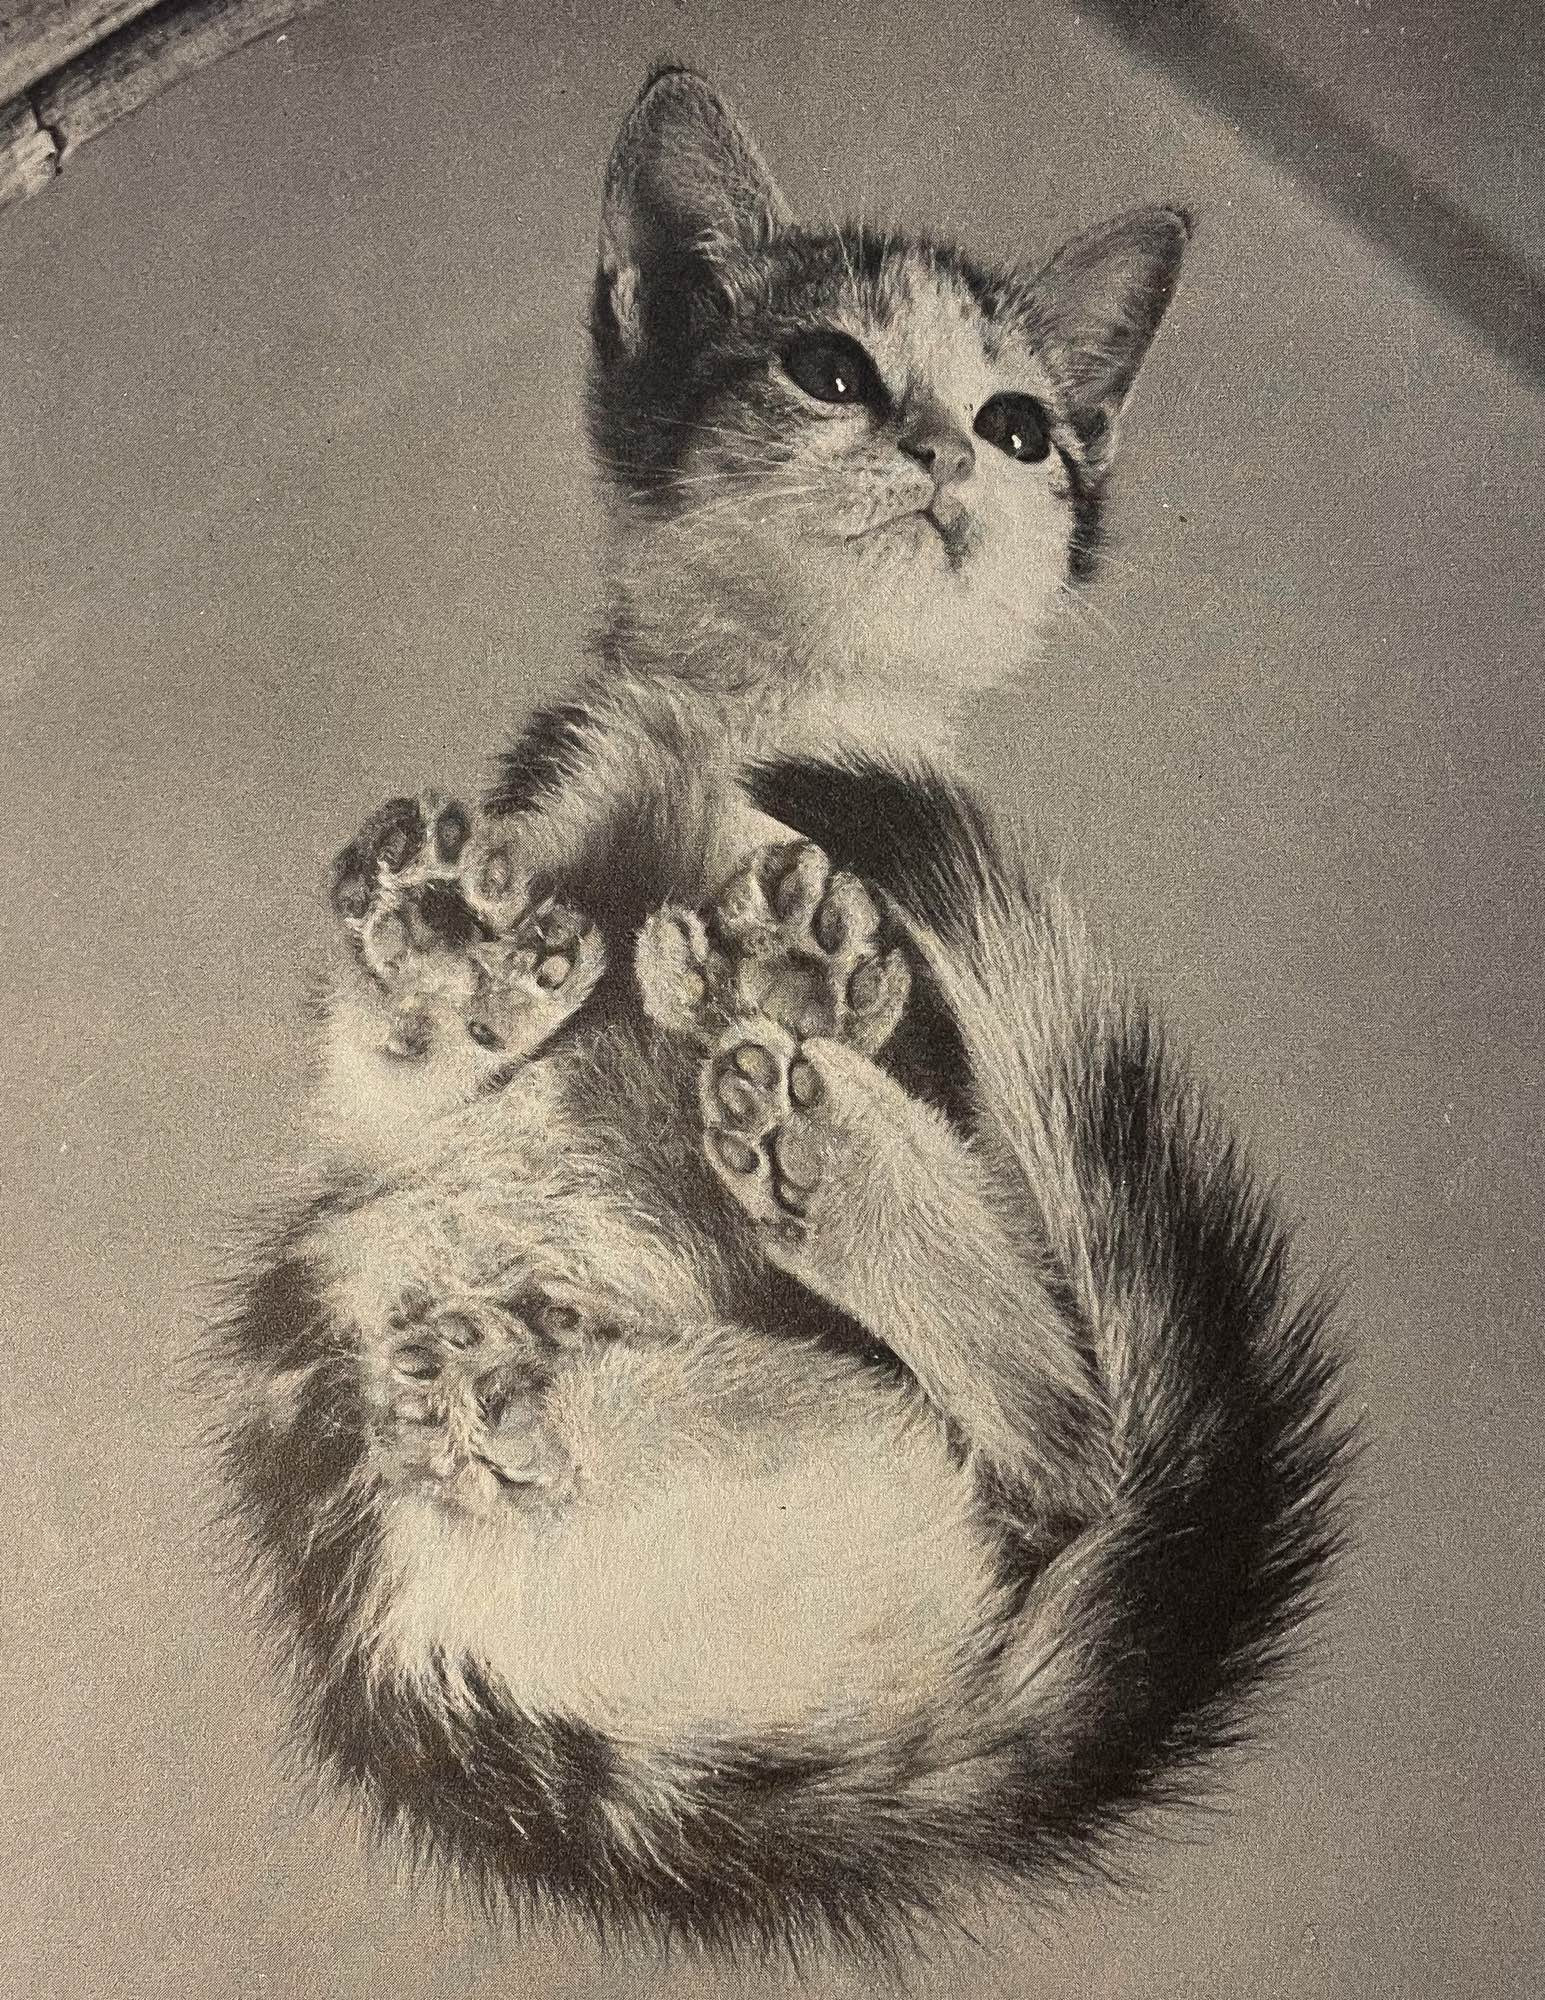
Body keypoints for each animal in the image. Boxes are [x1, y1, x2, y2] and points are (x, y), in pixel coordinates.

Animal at [208, 70, 1352, 1960]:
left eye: (1023, 424)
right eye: (829, 368)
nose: (945, 450)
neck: (763, 729)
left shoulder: (935, 1004)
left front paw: (788, 977)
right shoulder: (418, 1039)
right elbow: (378, 1102)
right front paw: (444, 954)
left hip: (866, 1419)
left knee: (1068, 1432)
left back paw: (813, 1122)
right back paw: (510, 1365)